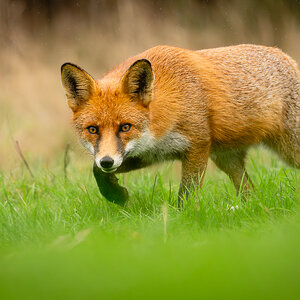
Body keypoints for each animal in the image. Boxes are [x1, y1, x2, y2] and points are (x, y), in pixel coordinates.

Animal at [61, 44, 300, 206]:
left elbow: (186, 194)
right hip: (227, 159)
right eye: (93, 130)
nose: (107, 161)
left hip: (289, 149)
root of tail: (286, 56)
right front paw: (116, 195)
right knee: (249, 190)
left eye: (125, 127)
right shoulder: (151, 152)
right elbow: (96, 171)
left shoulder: (197, 145)